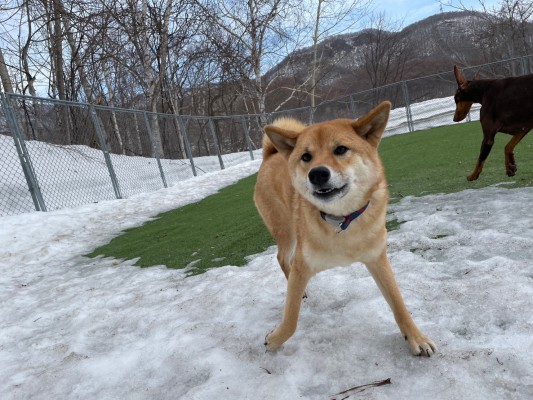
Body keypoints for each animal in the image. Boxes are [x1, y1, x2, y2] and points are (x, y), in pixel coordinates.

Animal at [255, 102, 436, 356]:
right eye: (306, 157)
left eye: (341, 149)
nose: (317, 173)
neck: (342, 220)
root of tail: (270, 155)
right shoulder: (303, 265)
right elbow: (291, 317)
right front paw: (275, 339)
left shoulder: (378, 260)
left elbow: (399, 304)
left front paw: (416, 338)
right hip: (286, 230)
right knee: (282, 258)